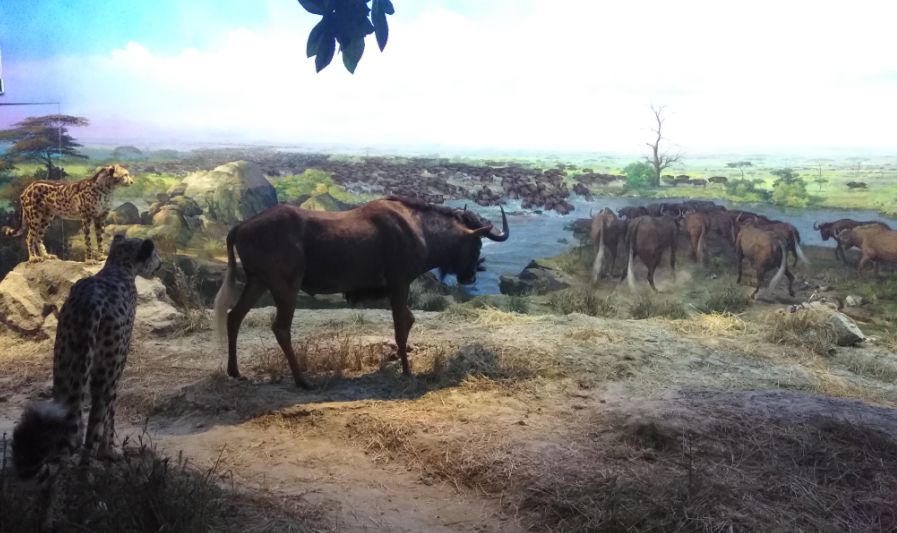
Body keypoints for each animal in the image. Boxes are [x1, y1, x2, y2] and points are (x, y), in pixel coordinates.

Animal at [0, 162, 133, 262]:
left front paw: (101, 256)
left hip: (46, 218)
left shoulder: (100, 218)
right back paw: (33, 258)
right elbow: (88, 241)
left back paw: (46, 256)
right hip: (35, 217)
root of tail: (26, 188)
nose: (132, 182)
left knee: (38, 237)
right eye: (125, 175)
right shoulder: (86, 218)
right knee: (29, 237)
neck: (106, 188)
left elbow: (100, 239)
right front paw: (89, 260)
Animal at [11, 233, 162, 478]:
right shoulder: (116, 367)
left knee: (67, 417)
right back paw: (89, 469)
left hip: (65, 367)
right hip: (103, 372)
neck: (118, 267)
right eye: (154, 253)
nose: (161, 262)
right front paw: (110, 452)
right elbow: (110, 412)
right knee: (94, 422)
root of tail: (90, 305)